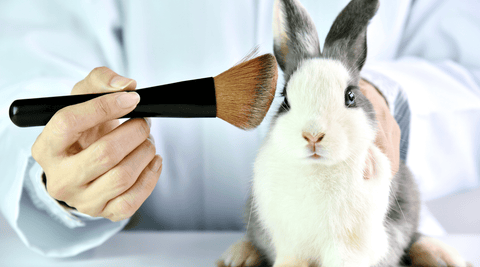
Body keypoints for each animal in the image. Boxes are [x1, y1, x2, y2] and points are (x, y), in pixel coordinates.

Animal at [218, 0, 420, 266]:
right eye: (285, 100)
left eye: (350, 96)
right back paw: (237, 256)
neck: (317, 169)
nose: (313, 136)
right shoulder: (291, 244)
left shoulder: (348, 248)